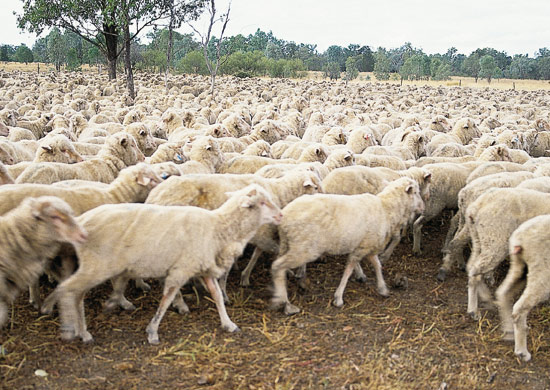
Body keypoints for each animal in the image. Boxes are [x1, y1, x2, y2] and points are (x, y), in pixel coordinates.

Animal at [498, 215, 550, 362]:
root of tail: (519, 238)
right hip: (542, 270)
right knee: (519, 309)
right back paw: (522, 352)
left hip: (519, 266)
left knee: (503, 293)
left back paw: (509, 331)